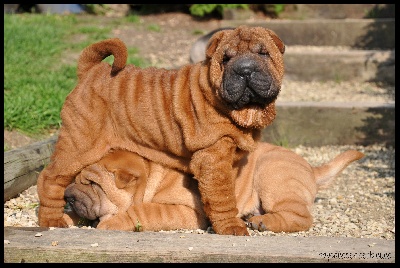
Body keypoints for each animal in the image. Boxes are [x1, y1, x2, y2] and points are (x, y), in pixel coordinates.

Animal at [37, 26, 286, 236]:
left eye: (264, 53)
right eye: (225, 58)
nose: (245, 69)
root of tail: (91, 71)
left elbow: (226, 191)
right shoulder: (212, 156)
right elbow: (222, 196)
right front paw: (231, 227)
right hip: (79, 143)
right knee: (50, 178)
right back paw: (52, 220)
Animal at [64, 142, 364, 232]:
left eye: (93, 183)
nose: (67, 196)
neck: (154, 174)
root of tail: (311, 168)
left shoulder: (187, 211)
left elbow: (144, 211)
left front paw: (112, 223)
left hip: (273, 174)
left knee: (300, 217)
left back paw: (263, 222)